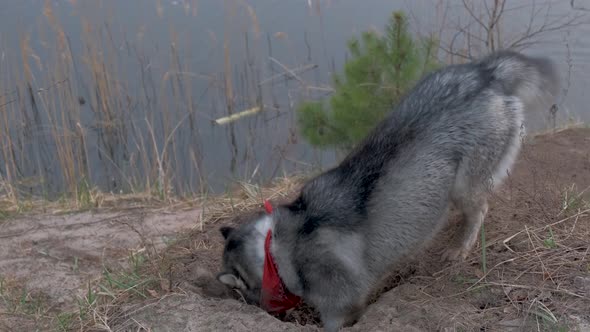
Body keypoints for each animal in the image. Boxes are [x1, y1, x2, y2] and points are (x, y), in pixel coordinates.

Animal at [216, 50, 560, 332]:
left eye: (241, 292)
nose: (263, 312)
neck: (276, 248)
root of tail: (485, 72)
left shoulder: (339, 305)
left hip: (465, 184)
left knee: (479, 209)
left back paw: (461, 245)